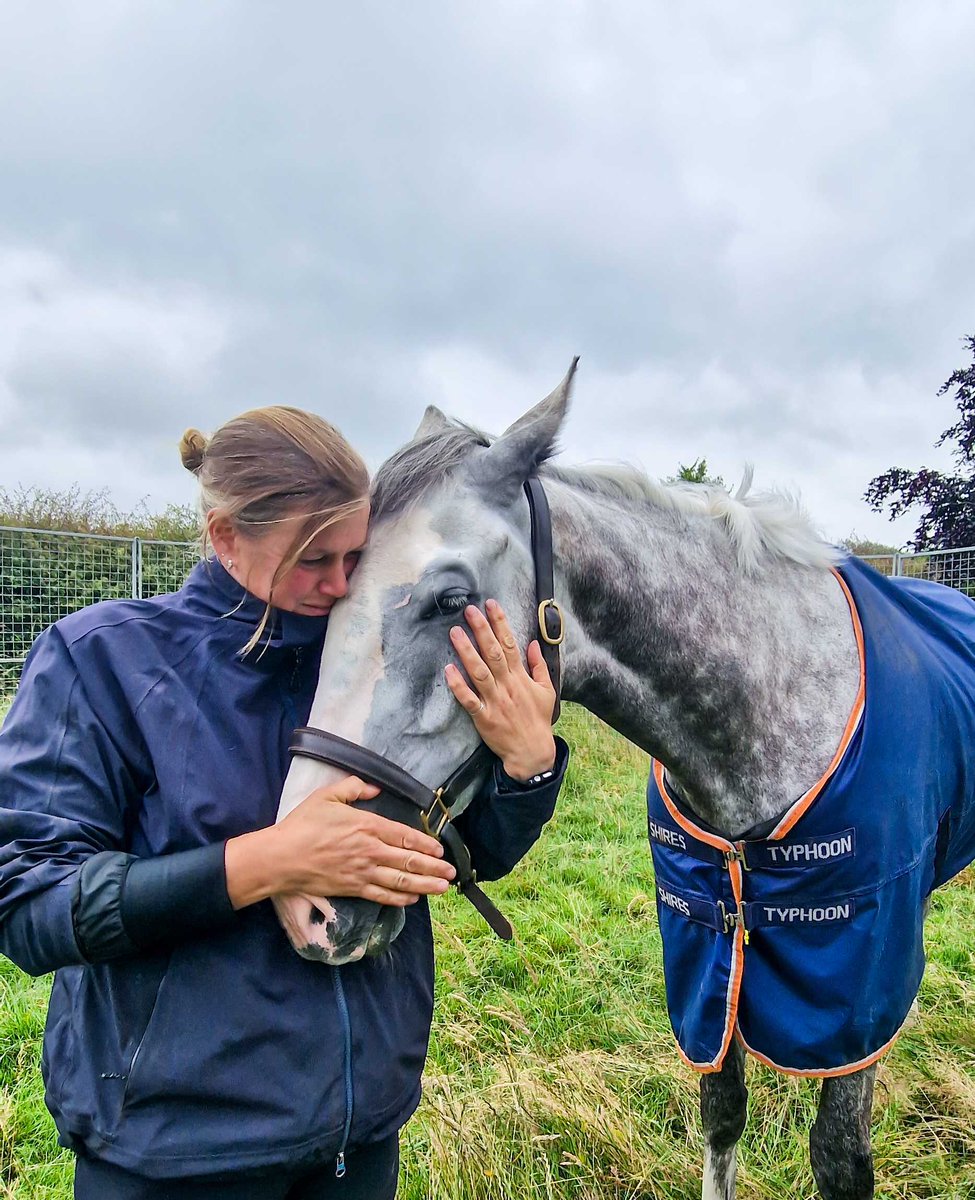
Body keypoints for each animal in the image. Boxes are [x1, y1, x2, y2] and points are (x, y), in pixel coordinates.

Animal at [273, 363, 975, 1200]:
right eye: (326, 598)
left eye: (451, 599)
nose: (308, 903)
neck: (765, 706)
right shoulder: (709, 953)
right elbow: (721, 1111)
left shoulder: (853, 976)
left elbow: (840, 1157)